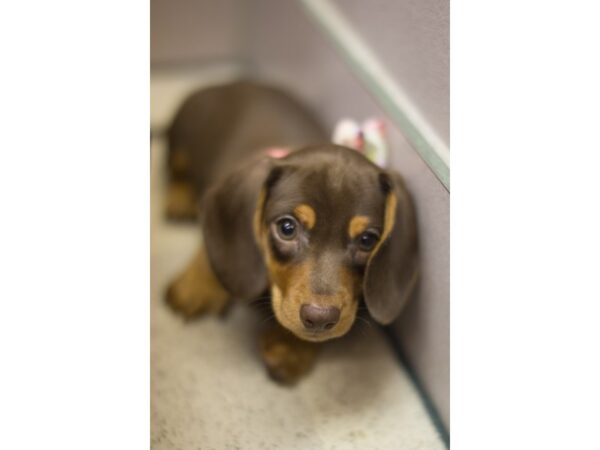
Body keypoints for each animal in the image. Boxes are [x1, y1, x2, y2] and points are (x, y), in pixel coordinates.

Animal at [164, 81, 418, 384]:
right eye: (287, 228)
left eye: (368, 240)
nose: (319, 318)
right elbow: (207, 247)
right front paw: (196, 286)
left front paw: (291, 347)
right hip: (182, 139)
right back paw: (179, 197)